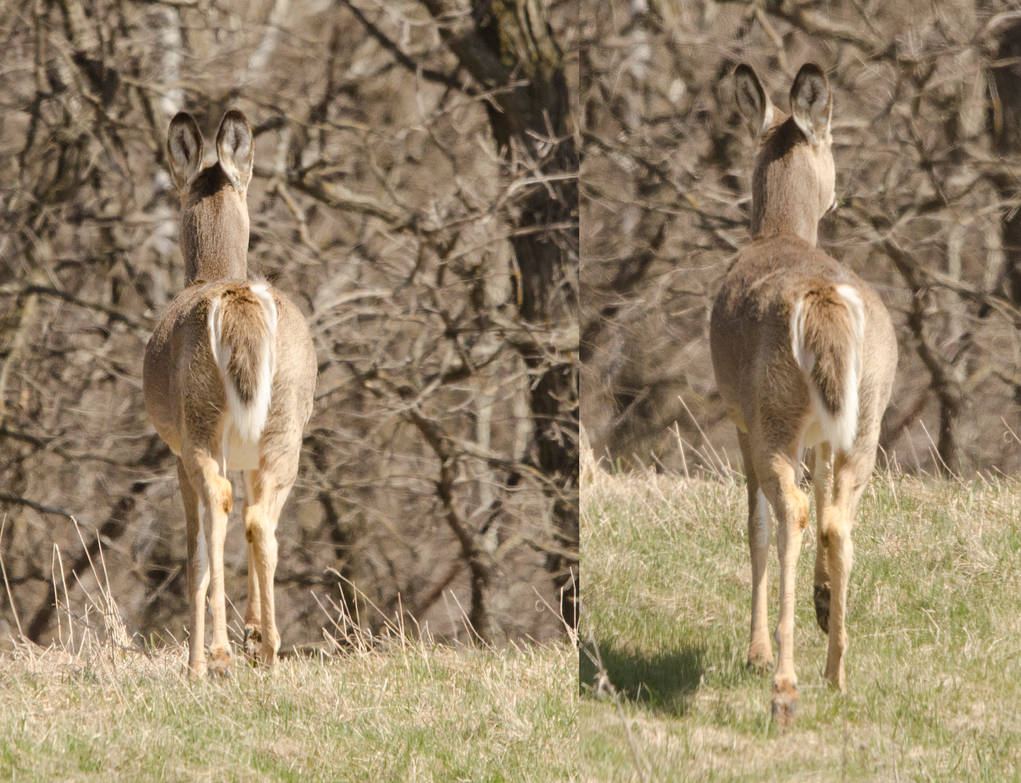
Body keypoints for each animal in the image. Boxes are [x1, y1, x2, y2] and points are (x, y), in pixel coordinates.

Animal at [143, 110, 317, 677]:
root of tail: (237, 299)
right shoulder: (245, 452)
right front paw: (254, 628)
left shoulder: (176, 449)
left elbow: (195, 551)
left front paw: (198, 658)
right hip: (284, 415)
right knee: (258, 517)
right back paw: (267, 646)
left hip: (197, 415)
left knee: (217, 507)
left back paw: (214, 657)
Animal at [709, 63, 897, 727]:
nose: (841, 193)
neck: (778, 233)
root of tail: (822, 298)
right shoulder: (822, 431)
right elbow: (819, 502)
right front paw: (820, 603)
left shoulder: (739, 416)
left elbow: (755, 524)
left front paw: (758, 651)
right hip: (866, 411)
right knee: (835, 518)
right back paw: (836, 671)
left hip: (772, 413)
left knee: (786, 511)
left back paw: (782, 685)